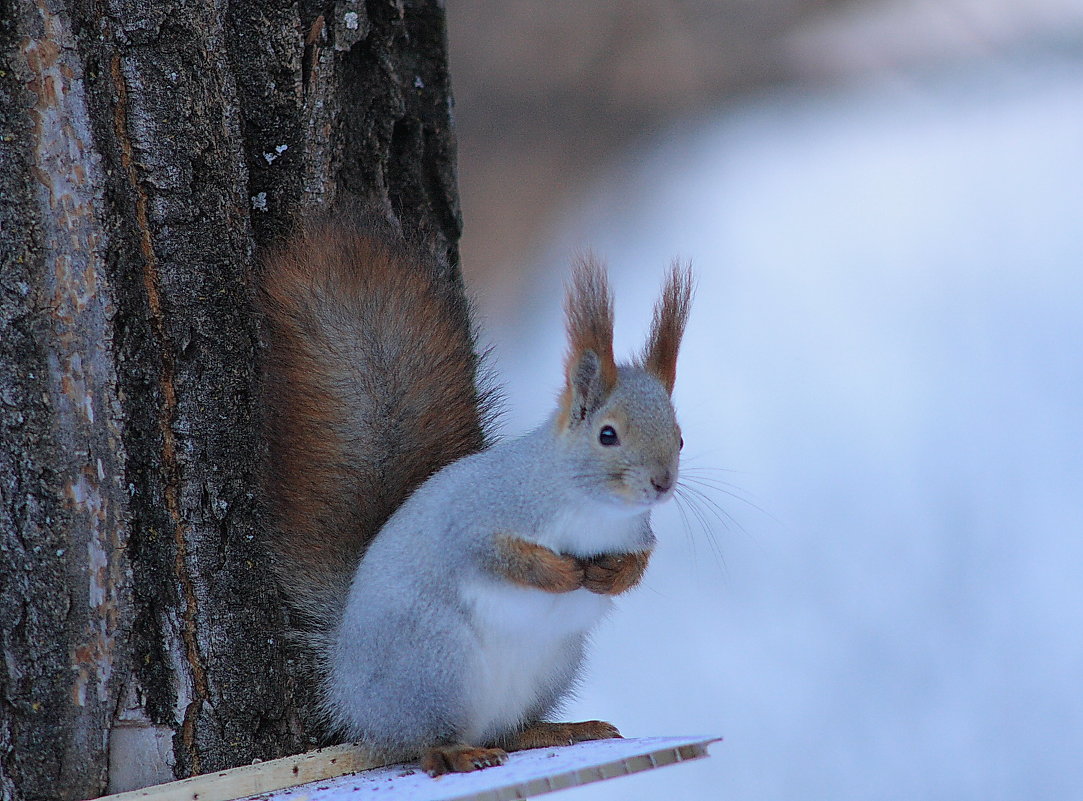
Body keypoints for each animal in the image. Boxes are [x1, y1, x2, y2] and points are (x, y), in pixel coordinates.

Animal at [257, 213, 688, 775]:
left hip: (550, 666)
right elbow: (493, 554)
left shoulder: (637, 531)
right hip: (439, 663)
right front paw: (561, 573)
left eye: (680, 437)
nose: (661, 483)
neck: (596, 510)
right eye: (607, 435)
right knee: (420, 742)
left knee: (509, 730)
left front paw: (610, 576)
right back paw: (457, 752)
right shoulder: (482, 514)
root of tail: (349, 694)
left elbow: (640, 562)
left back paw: (558, 730)